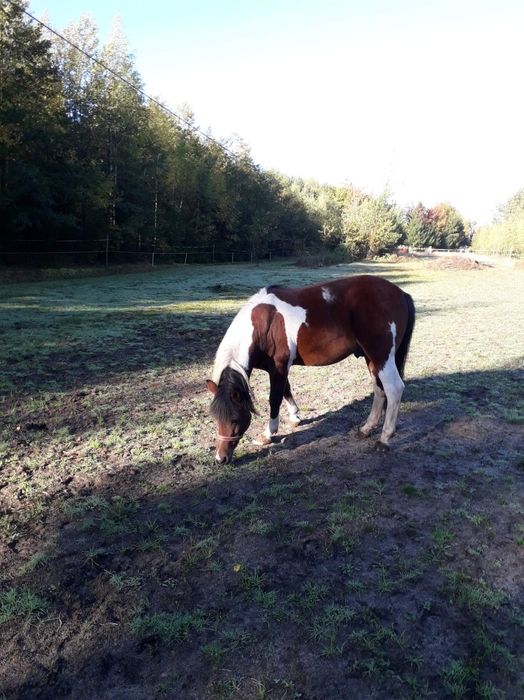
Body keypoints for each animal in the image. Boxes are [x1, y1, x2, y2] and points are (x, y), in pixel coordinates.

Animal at [207, 274, 416, 464]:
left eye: (234, 419)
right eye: (216, 418)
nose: (220, 458)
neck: (264, 325)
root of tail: (400, 293)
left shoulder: (279, 368)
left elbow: (274, 399)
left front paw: (268, 434)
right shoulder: (279, 369)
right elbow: (286, 390)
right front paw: (295, 417)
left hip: (381, 356)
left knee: (394, 389)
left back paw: (384, 439)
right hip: (371, 358)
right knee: (379, 389)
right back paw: (366, 429)